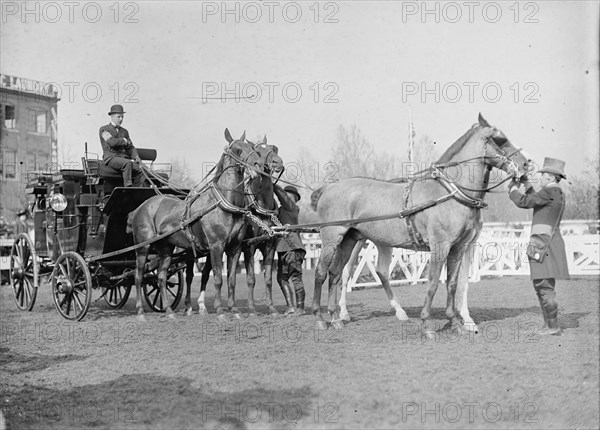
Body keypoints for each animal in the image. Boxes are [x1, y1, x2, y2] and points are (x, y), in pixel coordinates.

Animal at [127, 129, 262, 320]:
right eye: (238, 149)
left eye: (252, 147)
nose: (258, 165)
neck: (224, 203)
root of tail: (140, 208)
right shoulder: (216, 246)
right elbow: (218, 278)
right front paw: (220, 310)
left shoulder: (235, 248)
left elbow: (231, 279)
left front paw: (234, 310)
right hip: (143, 247)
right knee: (138, 276)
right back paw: (140, 311)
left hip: (166, 249)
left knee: (161, 277)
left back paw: (169, 311)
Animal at [197, 138, 286, 316]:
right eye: (258, 151)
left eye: (274, 148)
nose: (277, 162)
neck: (261, 208)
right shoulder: (249, 247)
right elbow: (251, 278)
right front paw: (251, 308)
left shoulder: (269, 246)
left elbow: (268, 279)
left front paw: (271, 307)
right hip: (213, 248)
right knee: (205, 273)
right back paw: (201, 305)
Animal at [312, 115, 532, 336]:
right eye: (501, 139)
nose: (526, 166)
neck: (452, 193)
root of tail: (328, 187)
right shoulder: (440, 246)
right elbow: (433, 282)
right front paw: (427, 324)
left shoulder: (459, 247)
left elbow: (454, 283)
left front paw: (457, 322)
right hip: (333, 238)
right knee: (325, 272)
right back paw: (323, 317)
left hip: (351, 238)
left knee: (338, 273)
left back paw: (337, 317)